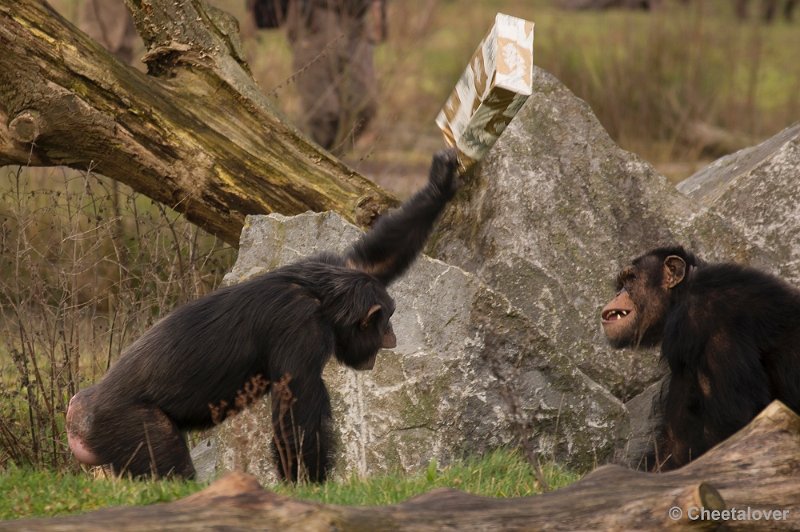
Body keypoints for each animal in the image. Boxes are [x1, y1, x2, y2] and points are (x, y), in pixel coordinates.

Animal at [65, 148, 460, 480]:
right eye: (385, 320)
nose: (392, 336)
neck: (322, 301)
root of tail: (75, 416)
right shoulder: (301, 331)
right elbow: (294, 411)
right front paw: (310, 485)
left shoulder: (336, 265)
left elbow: (375, 256)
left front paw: (441, 180)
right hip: (130, 426)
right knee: (168, 467)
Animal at [604, 245, 800, 470]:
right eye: (621, 283)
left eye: (632, 279)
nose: (618, 293)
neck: (680, 294)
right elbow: (676, 442)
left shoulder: (710, 323)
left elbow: (735, 418)